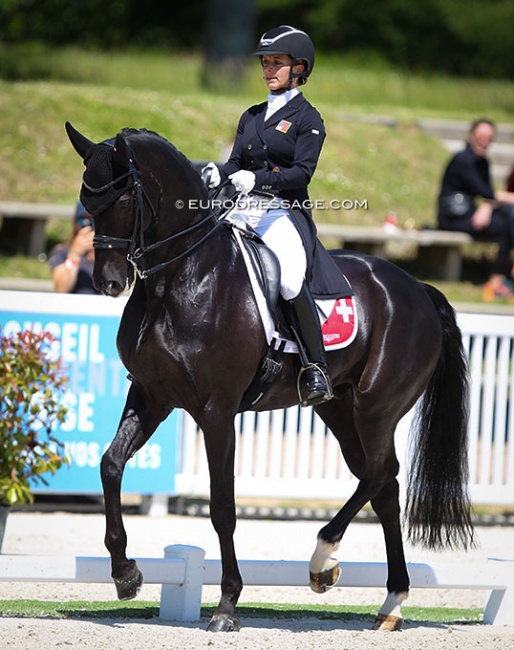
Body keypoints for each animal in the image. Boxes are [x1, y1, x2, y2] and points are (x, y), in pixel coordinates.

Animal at [65, 124, 472, 632]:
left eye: (122, 201)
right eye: (86, 200)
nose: (108, 282)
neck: (181, 277)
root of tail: (416, 288)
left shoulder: (217, 411)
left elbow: (223, 507)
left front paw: (226, 606)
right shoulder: (151, 395)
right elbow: (110, 465)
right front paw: (126, 574)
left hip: (376, 407)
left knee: (381, 473)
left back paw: (324, 561)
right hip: (340, 410)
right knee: (383, 487)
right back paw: (386, 600)